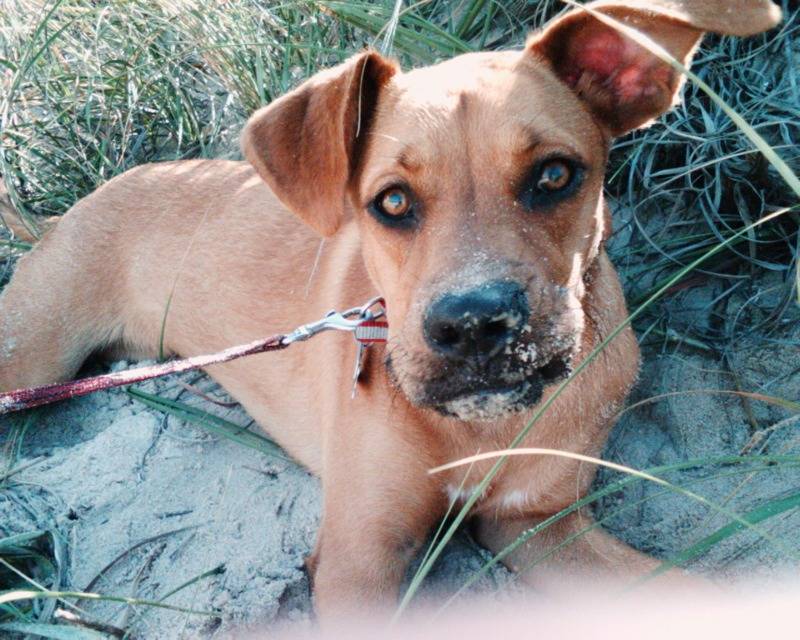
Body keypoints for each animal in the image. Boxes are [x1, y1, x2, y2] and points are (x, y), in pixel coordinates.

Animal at [0, 0, 782, 621]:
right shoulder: (360, 556)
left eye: (556, 175)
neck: (477, 428)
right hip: (27, 358)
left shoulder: (542, 526)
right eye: (393, 201)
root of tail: (67, 213)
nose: (475, 327)